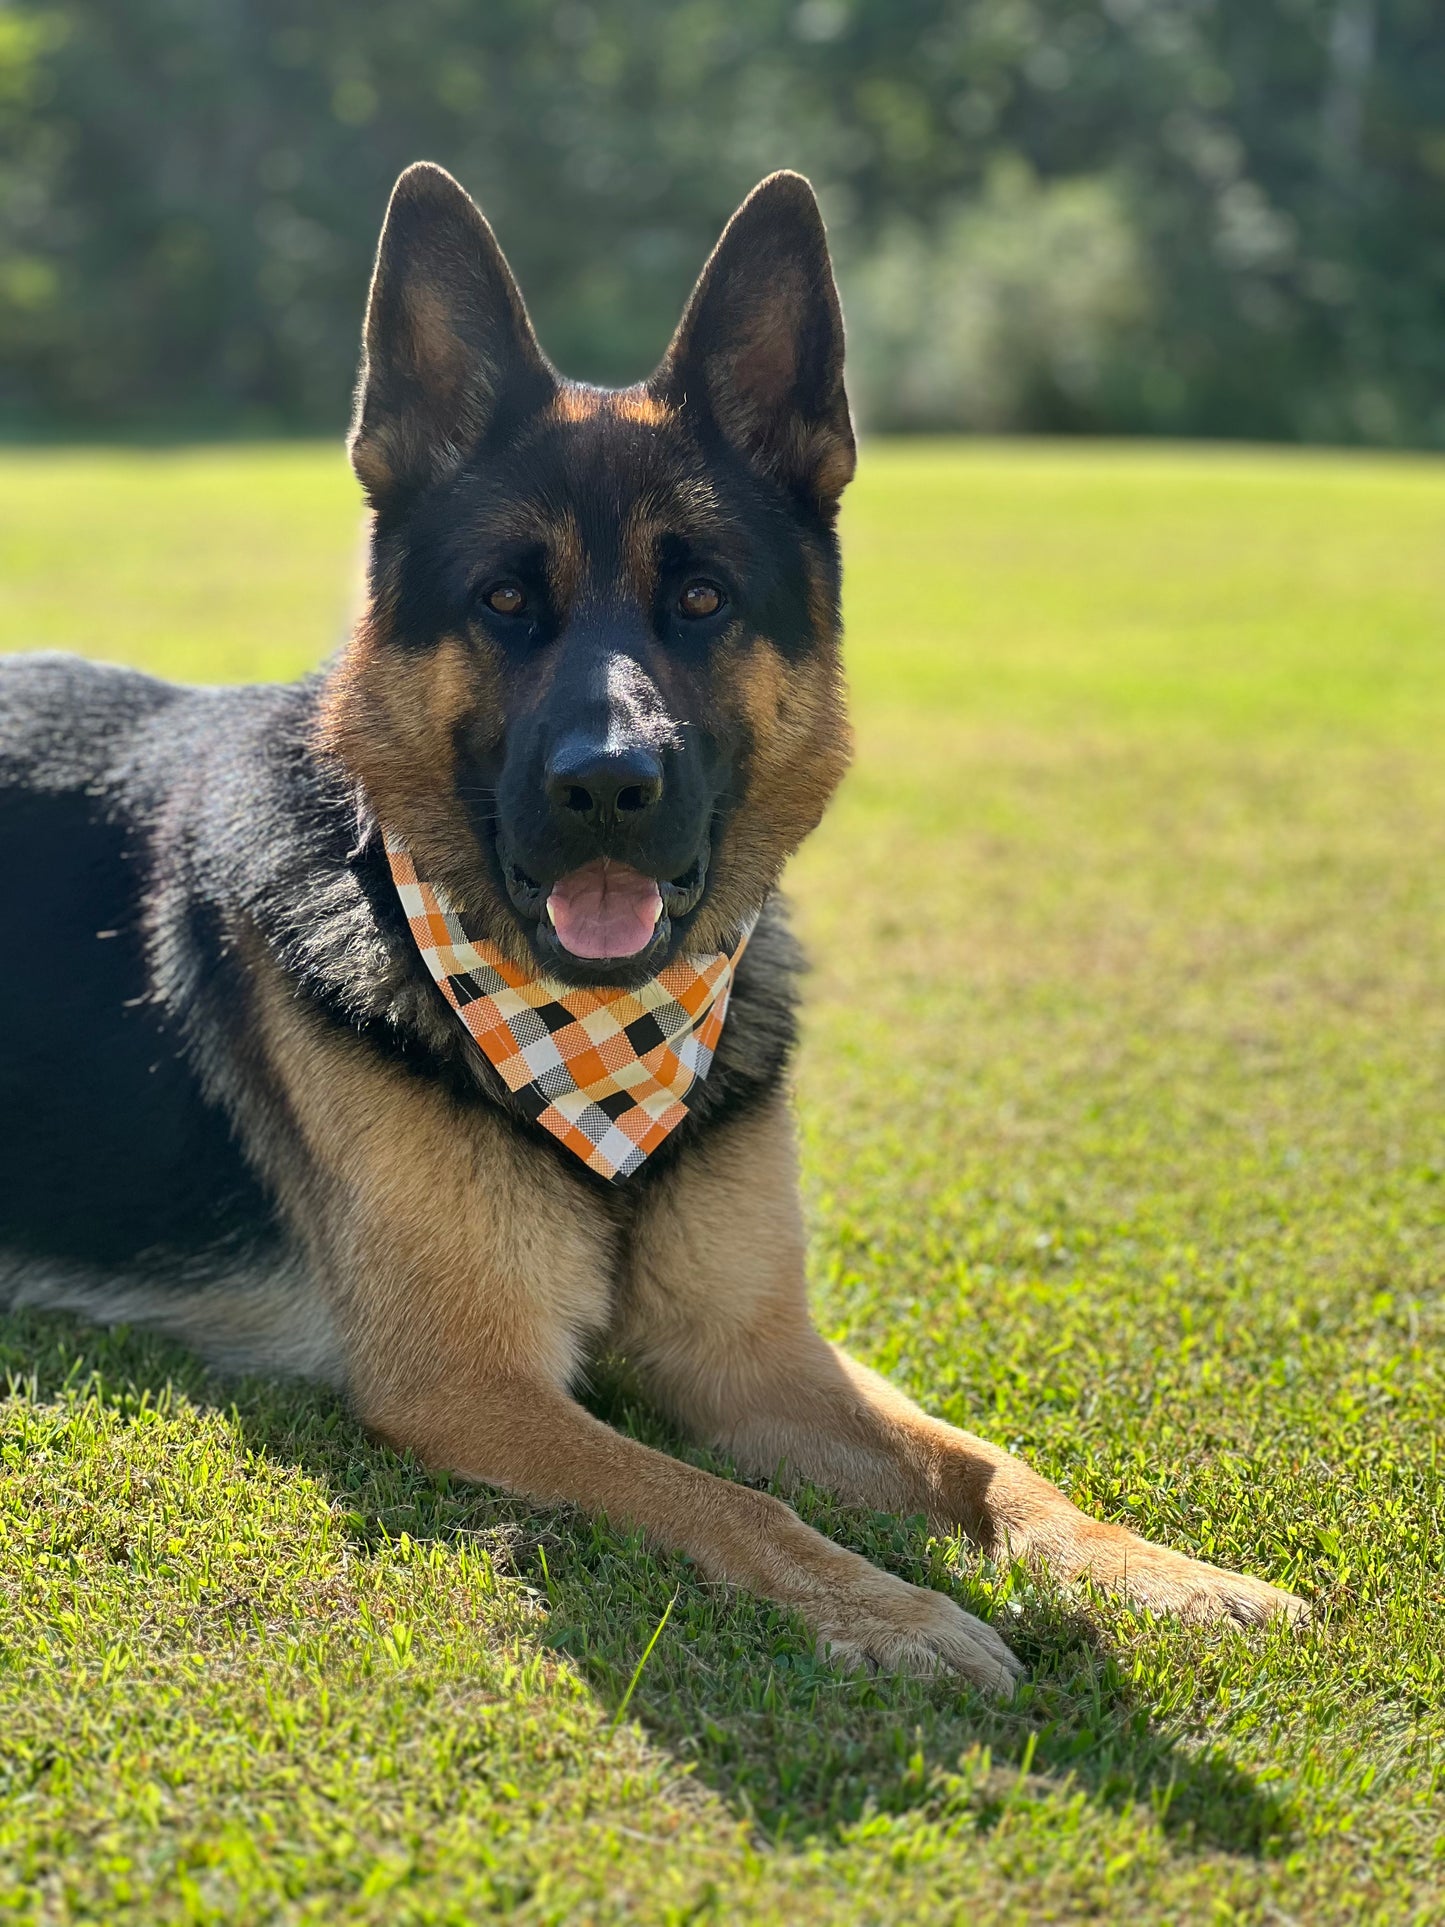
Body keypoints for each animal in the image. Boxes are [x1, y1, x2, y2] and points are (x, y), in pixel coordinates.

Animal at [0, 165, 1310, 1680]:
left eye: (700, 596)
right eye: (507, 598)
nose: (607, 785)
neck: (597, 1046)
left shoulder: (750, 1348)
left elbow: (983, 1463)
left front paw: (1160, 1571)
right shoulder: (470, 1379)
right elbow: (719, 1496)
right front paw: (892, 1608)